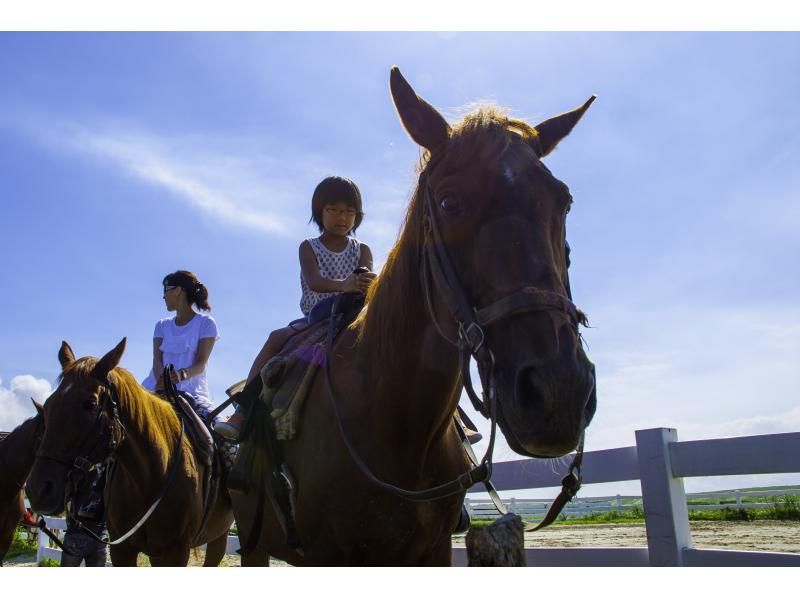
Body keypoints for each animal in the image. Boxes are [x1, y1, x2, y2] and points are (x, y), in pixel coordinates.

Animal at [26, 339, 235, 566]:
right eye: (48, 405)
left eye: (90, 404)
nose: (38, 490)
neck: (150, 478)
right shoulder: (122, 549)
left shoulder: (175, 552)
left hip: (219, 535)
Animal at [229, 66, 597, 566]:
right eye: (448, 202)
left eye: (564, 201)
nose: (559, 391)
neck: (396, 421)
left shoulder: (433, 549)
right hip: (253, 543)